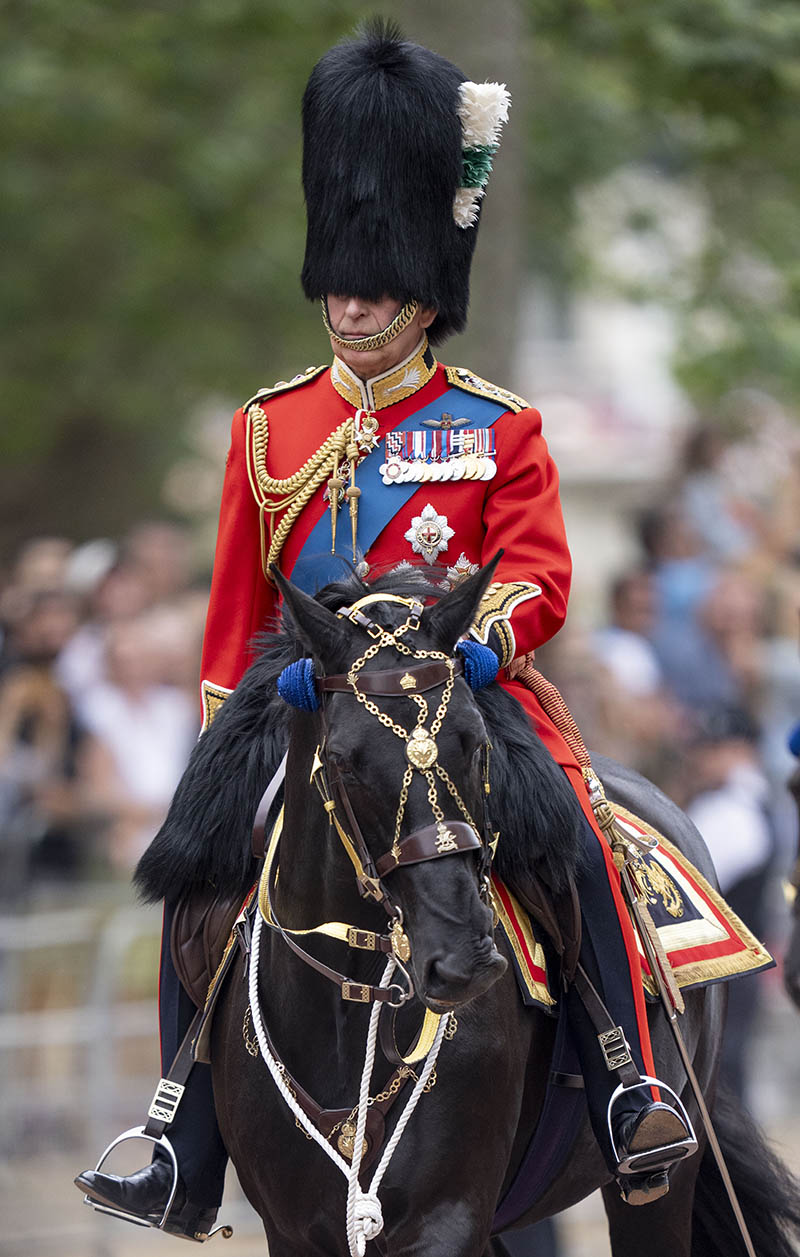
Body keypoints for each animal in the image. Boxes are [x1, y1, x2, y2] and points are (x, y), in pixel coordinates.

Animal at [135, 565, 800, 1251]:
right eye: (343, 763)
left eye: (477, 744)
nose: (462, 961)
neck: (351, 997)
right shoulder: (294, 1231)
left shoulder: (447, 1218)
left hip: (657, 1184)